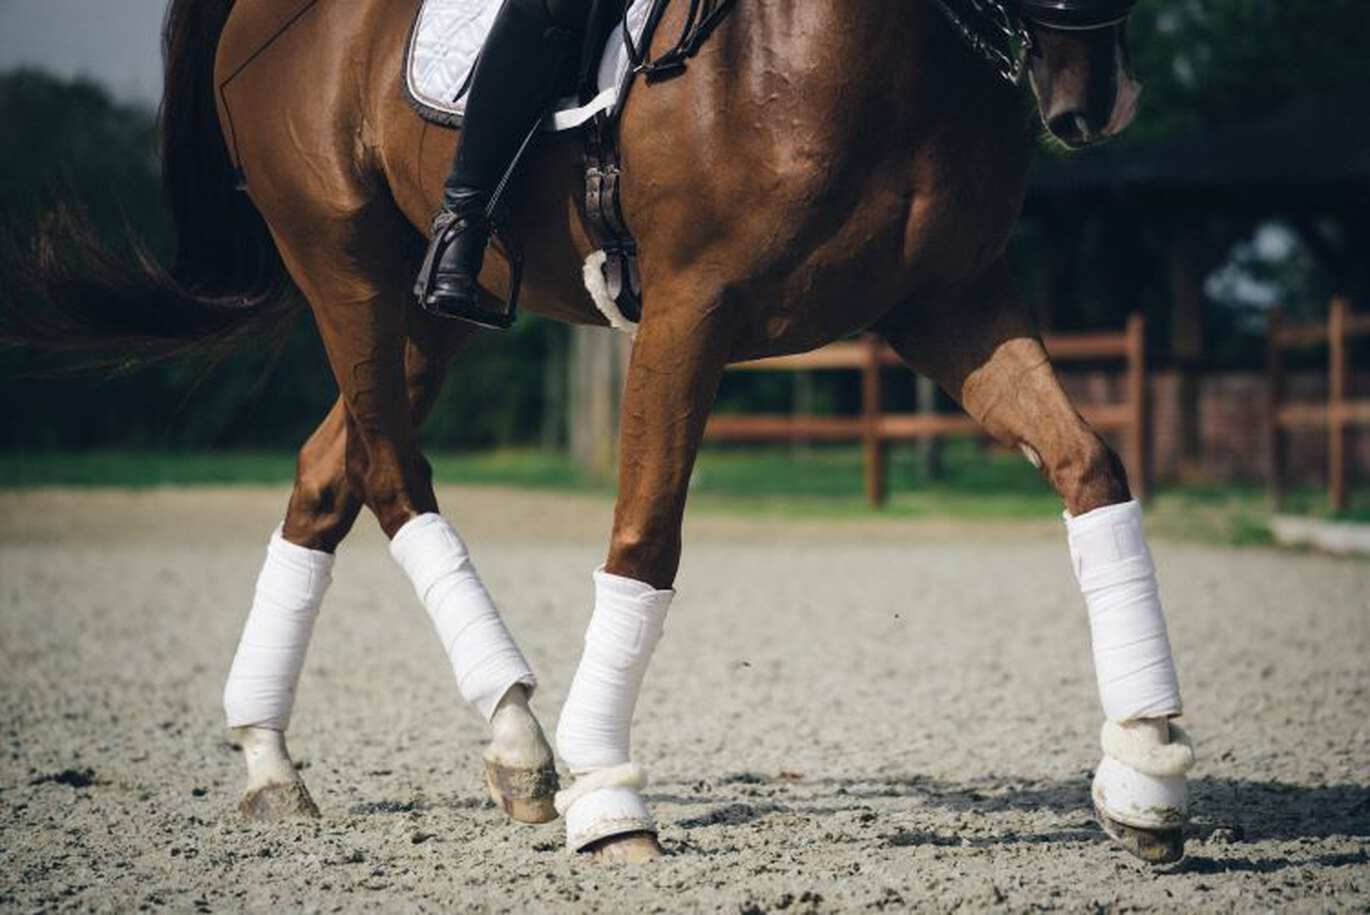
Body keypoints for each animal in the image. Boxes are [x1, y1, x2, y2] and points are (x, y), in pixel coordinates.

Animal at [2, 0, 1195, 866]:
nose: (1095, 100)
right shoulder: (690, 309)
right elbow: (645, 540)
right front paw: (609, 798)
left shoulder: (948, 301)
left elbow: (1090, 467)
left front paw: (1144, 774)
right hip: (344, 267)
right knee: (390, 472)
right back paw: (519, 741)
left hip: (427, 314)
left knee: (325, 479)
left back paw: (269, 760)